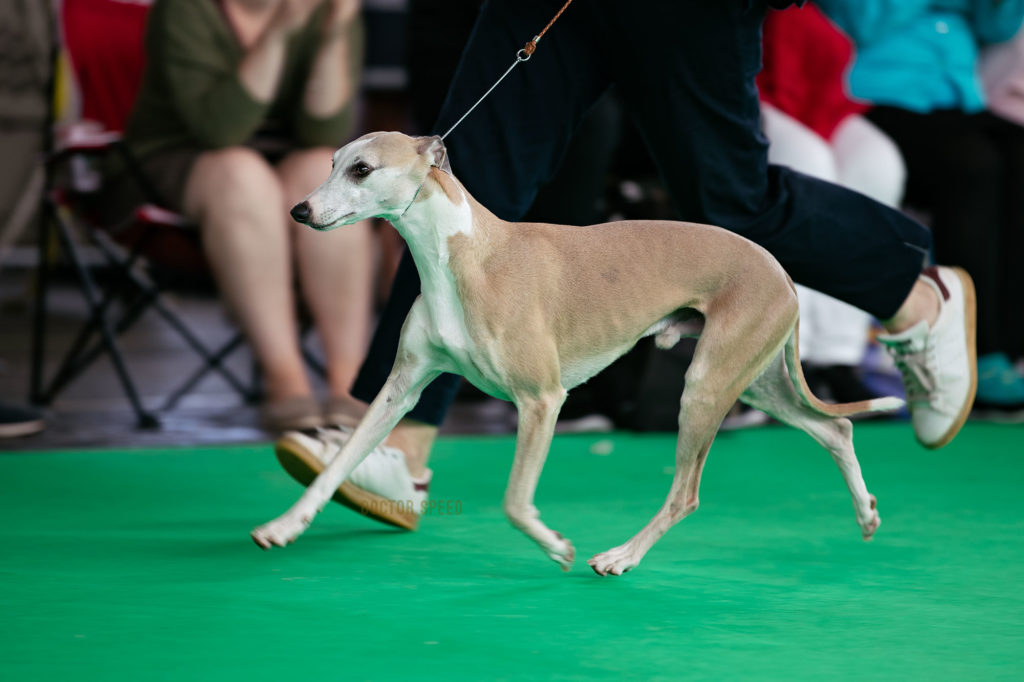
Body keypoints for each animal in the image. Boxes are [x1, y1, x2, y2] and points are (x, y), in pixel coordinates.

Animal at [251, 131, 901, 573]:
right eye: (332, 164)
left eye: (362, 169)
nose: (299, 210)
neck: (464, 254)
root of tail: (780, 270)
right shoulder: (401, 387)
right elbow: (337, 464)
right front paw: (284, 525)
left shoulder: (541, 400)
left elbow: (515, 501)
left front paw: (557, 545)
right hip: (755, 380)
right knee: (835, 428)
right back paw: (868, 514)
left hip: (706, 387)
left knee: (687, 493)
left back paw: (621, 556)